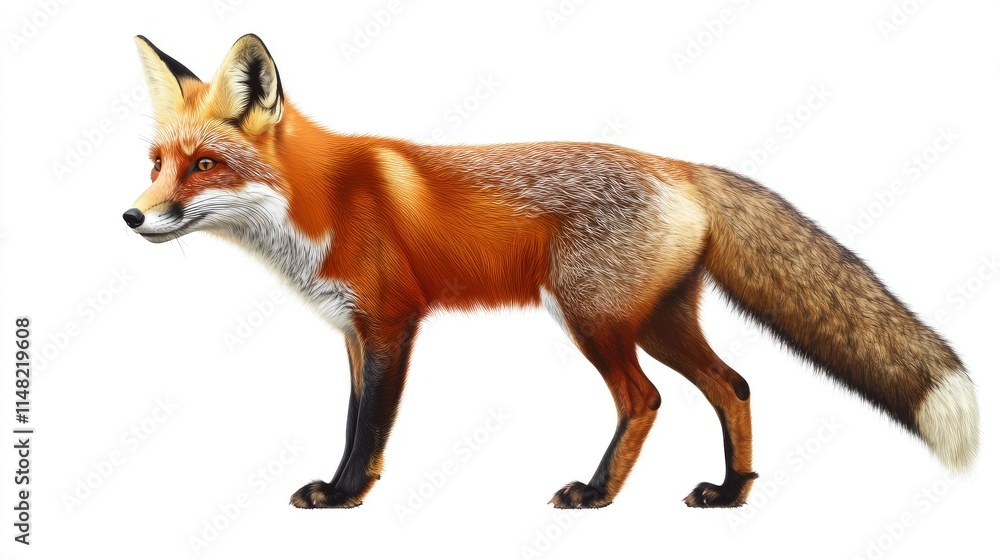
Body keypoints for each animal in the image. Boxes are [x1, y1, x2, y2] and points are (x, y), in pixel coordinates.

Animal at [125, 34, 979, 509]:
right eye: (158, 163)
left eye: (205, 165)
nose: (131, 218)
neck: (320, 202)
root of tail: (681, 166)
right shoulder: (354, 332)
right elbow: (354, 418)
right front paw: (348, 489)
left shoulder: (393, 322)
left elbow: (369, 425)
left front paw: (342, 497)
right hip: (659, 321)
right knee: (733, 386)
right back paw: (733, 492)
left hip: (593, 319)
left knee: (646, 400)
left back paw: (597, 494)